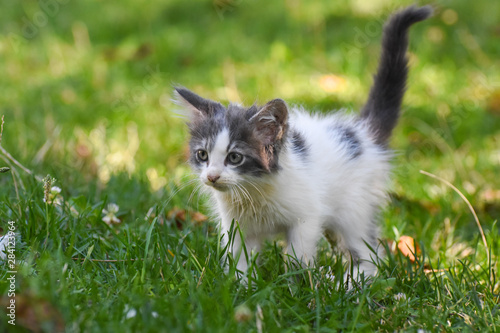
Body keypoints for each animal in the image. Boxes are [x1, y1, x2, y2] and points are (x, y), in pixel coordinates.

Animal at [174, 5, 432, 280]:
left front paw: (297, 282)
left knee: (367, 249)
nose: (212, 176)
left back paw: (355, 280)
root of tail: (362, 133)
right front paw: (242, 284)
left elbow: (298, 253)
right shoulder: (236, 225)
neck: (255, 190)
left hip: (355, 207)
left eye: (234, 157)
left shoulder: (307, 215)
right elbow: (239, 258)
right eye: (202, 155)